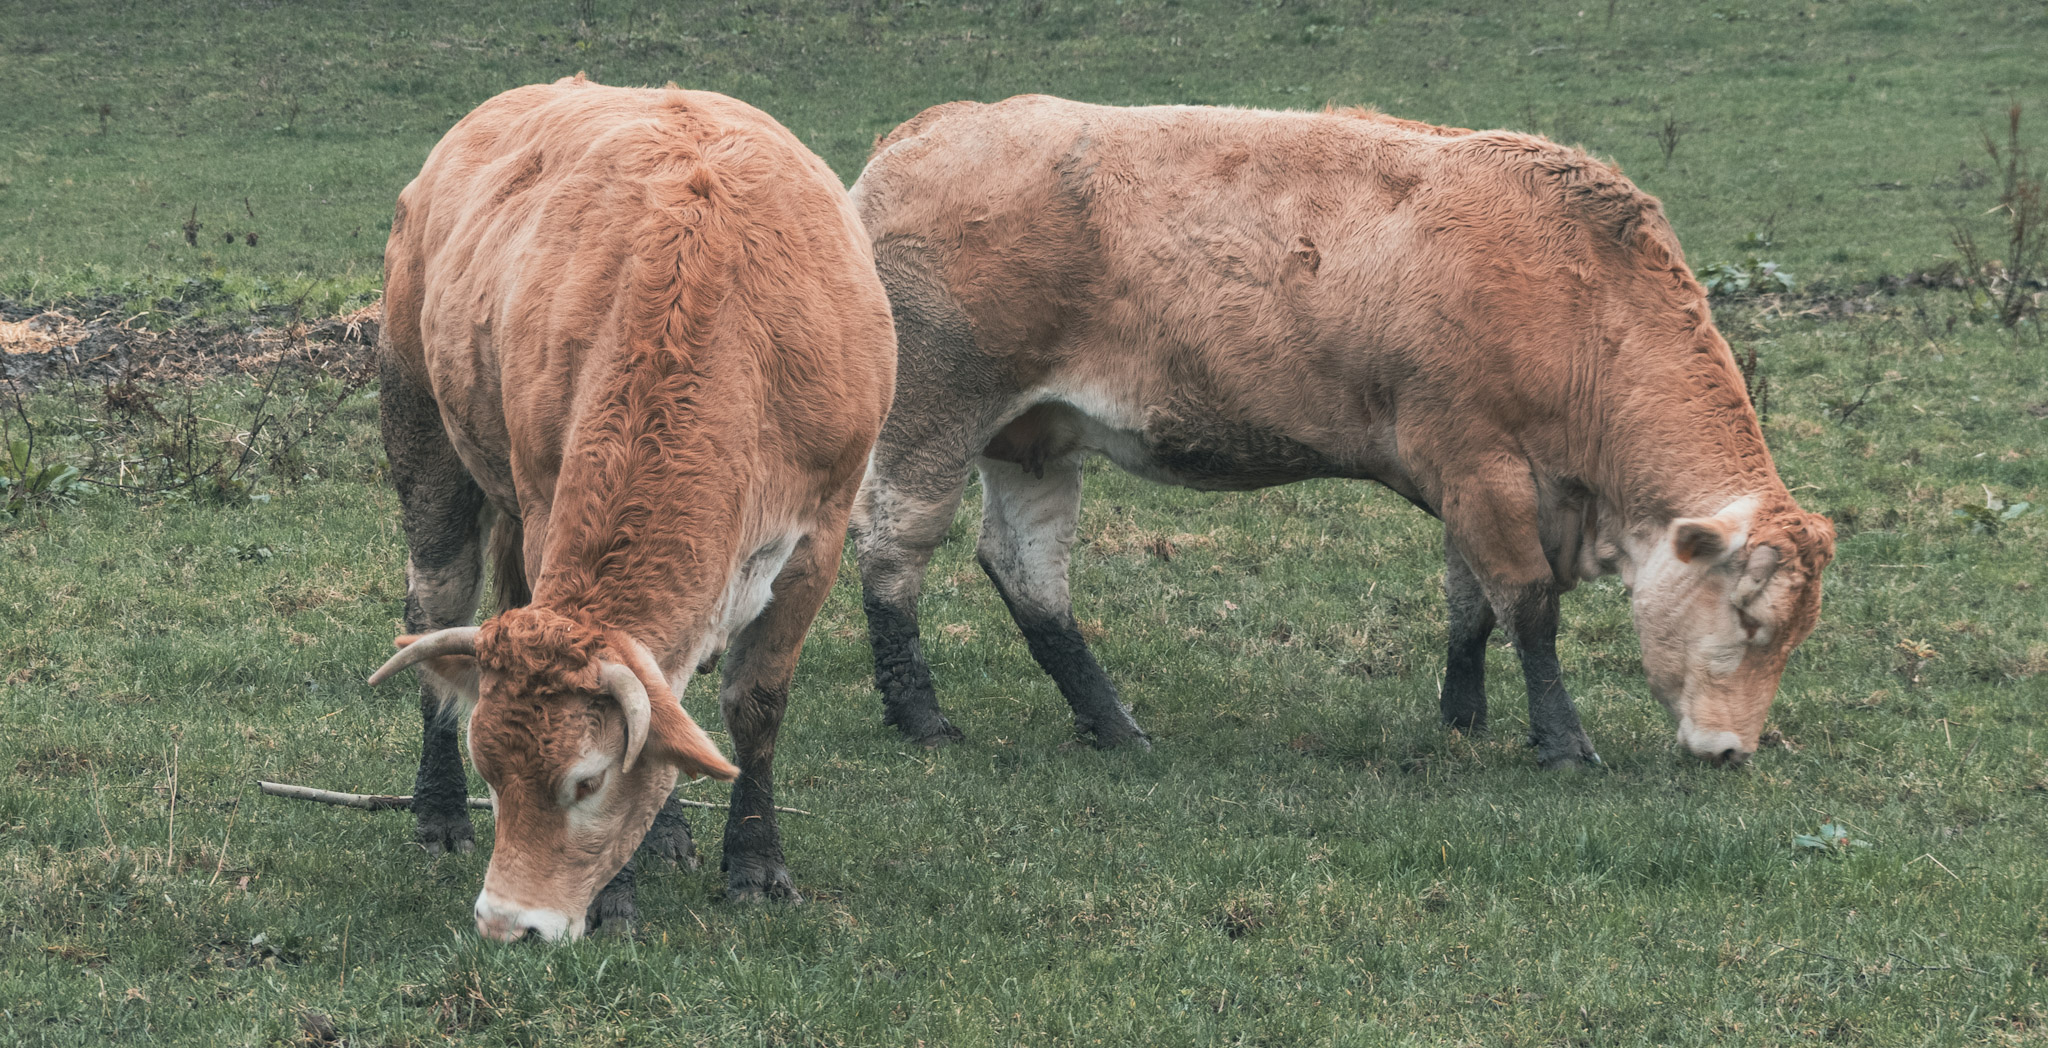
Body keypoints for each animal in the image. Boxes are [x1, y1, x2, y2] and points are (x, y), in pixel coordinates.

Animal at [365, 76, 895, 941]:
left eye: (587, 782)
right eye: (492, 772)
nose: (507, 923)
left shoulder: (822, 527)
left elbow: (754, 703)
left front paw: (754, 864)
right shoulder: (545, 500)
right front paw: (617, 897)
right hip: (421, 431)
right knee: (434, 604)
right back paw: (437, 812)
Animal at [849, 96, 1834, 769]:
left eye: (1795, 637)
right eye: (1747, 619)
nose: (1732, 752)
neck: (1580, 294)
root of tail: (931, 127)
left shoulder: (1476, 484)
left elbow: (1470, 605)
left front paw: (1464, 717)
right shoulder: (1479, 464)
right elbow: (1526, 605)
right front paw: (1561, 742)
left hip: (1033, 439)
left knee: (1030, 575)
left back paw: (1113, 723)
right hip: (934, 415)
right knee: (895, 548)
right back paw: (922, 717)